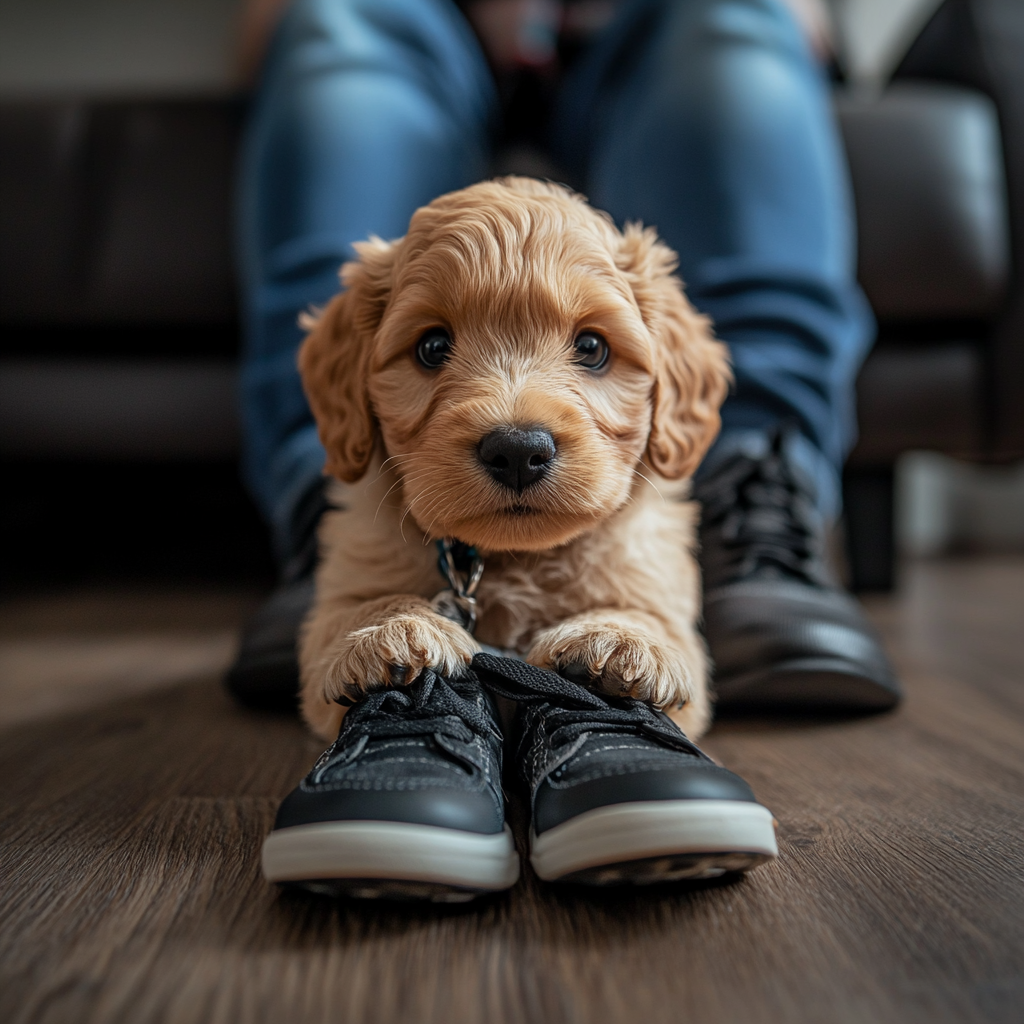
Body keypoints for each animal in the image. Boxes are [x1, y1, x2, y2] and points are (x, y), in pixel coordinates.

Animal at [294, 178, 729, 745]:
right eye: (432, 346)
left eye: (592, 347)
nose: (518, 450)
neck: (514, 559)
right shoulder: (346, 588)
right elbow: (351, 614)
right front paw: (392, 627)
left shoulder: (654, 583)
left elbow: (649, 617)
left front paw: (616, 637)